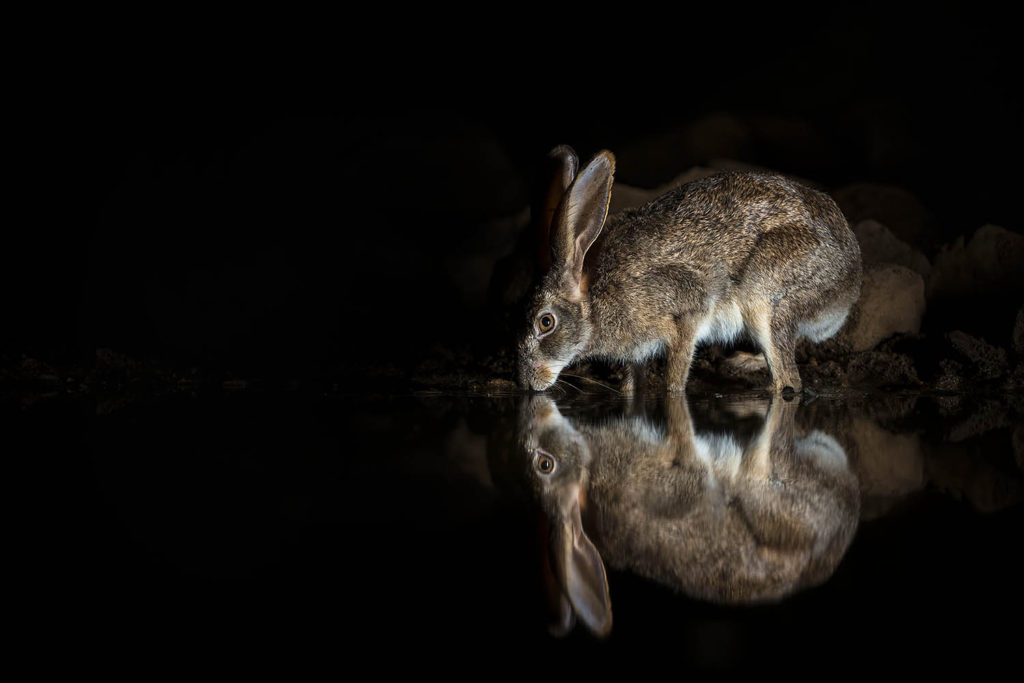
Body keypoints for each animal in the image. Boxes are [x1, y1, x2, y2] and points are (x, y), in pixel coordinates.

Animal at [516, 145, 862, 394]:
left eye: (546, 322)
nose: (526, 383)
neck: (594, 302)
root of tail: (849, 283)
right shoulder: (636, 351)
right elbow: (631, 383)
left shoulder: (686, 312)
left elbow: (676, 376)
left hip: (766, 295)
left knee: (788, 381)